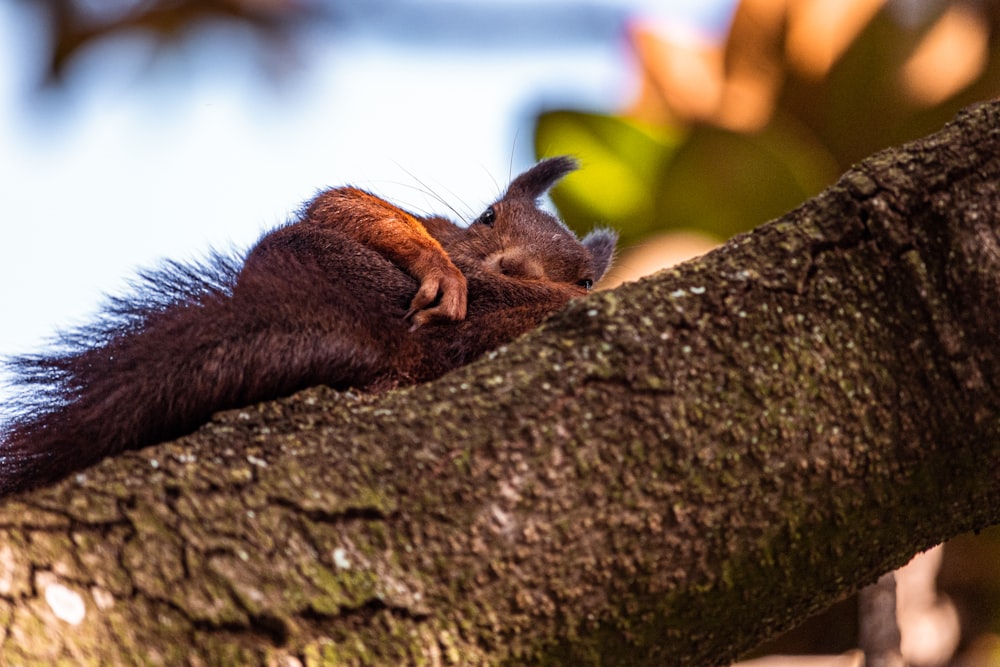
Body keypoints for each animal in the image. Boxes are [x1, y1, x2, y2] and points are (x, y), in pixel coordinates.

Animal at [0, 157, 616, 496]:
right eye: (489, 216)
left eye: (586, 281)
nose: (513, 268)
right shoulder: (438, 227)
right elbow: (342, 203)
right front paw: (441, 269)